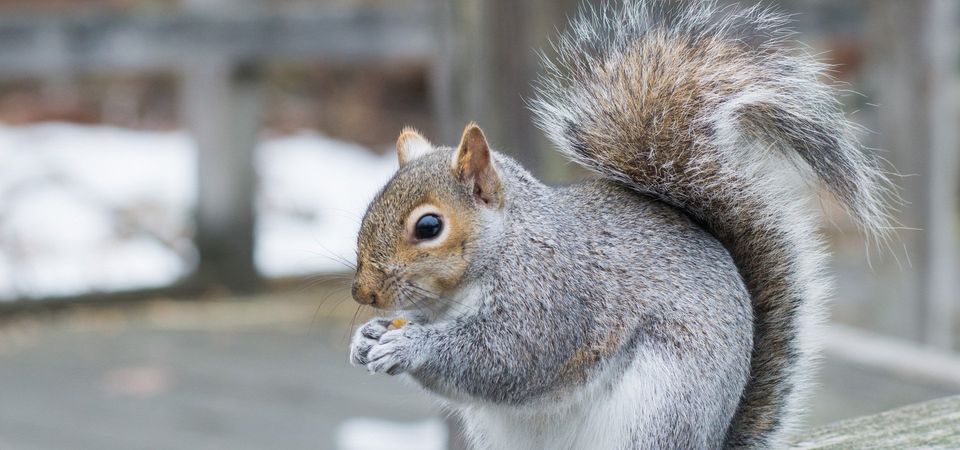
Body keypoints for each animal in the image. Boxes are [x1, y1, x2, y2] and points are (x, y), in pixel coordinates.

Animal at [348, 1, 893, 449]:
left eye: (429, 227)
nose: (363, 294)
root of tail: (714, 439)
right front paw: (368, 337)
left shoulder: (554, 296)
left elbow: (507, 357)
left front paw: (408, 344)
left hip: (660, 410)